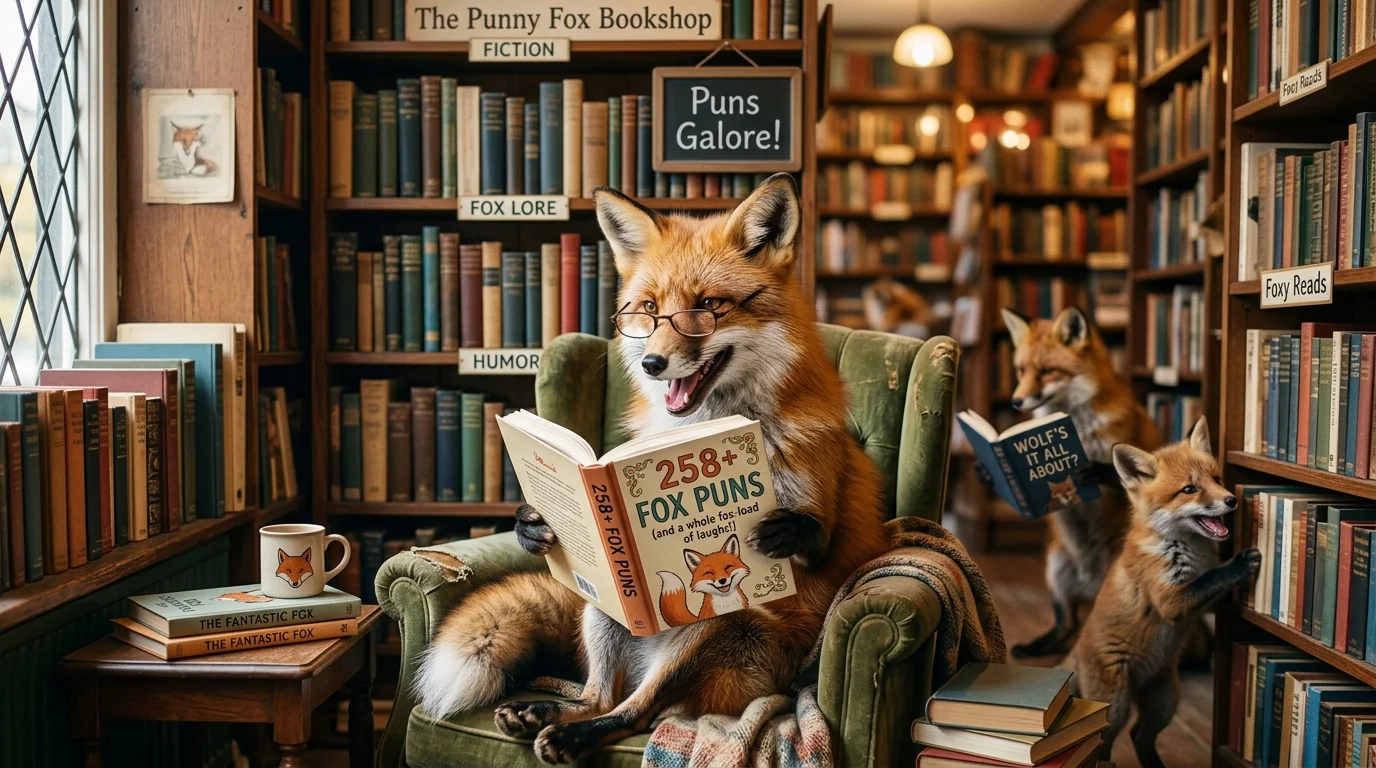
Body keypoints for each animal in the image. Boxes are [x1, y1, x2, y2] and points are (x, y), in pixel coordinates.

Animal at [412, 174, 892, 765]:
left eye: (709, 305)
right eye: (647, 308)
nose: (651, 364)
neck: (711, 425)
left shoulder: (821, 529)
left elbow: (817, 539)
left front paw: (787, 532)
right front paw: (534, 525)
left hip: (715, 627)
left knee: (634, 711)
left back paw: (567, 735)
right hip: (609, 603)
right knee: (598, 696)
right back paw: (540, 714)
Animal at [1000, 306, 1160, 658]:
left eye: (1047, 371)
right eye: (1020, 370)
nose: (1015, 402)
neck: (1077, 429)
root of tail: (1090, 581)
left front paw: (1095, 471)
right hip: (1055, 567)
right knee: (1067, 624)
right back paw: (1037, 647)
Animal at [1068, 417, 1259, 768]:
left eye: (1216, 479)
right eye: (1189, 489)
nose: (1231, 500)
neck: (1188, 549)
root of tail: (1076, 651)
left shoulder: (1201, 607)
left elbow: (1211, 586)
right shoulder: (1170, 600)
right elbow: (1210, 579)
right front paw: (1239, 564)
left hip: (1165, 701)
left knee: (1139, 735)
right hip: (1116, 707)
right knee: (1104, 744)